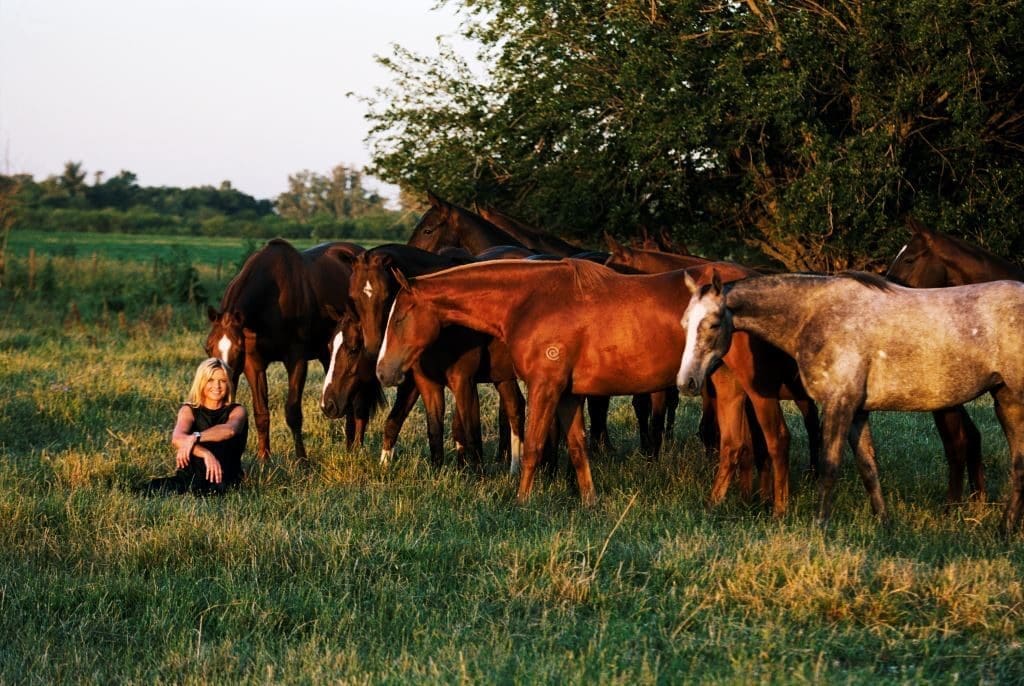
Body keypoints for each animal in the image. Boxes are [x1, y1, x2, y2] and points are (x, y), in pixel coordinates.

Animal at [205, 240, 382, 462]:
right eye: (207, 348)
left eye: (237, 349)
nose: (219, 388)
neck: (273, 299)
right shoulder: (254, 364)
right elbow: (261, 412)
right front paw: (264, 459)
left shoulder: (296, 360)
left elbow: (293, 413)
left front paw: (302, 461)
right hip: (330, 358)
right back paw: (350, 447)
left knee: (360, 405)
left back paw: (355, 449)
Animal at [378, 261, 798, 513]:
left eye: (398, 318)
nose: (383, 371)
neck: (531, 300)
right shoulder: (568, 394)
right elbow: (578, 448)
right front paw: (590, 501)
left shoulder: (545, 387)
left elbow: (533, 447)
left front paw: (522, 501)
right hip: (725, 384)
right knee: (735, 445)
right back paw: (717, 504)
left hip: (756, 388)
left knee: (776, 439)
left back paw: (778, 511)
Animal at [675, 270, 1024, 536]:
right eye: (684, 324)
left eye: (713, 324)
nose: (686, 382)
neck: (814, 315)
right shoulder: (857, 411)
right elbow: (868, 467)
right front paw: (885, 524)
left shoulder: (838, 404)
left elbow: (829, 466)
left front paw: (819, 526)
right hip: (1007, 401)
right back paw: (1005, 531)